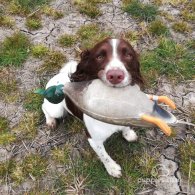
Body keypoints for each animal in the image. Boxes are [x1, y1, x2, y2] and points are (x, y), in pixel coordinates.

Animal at [42, 37, 145, 177]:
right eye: (100, 56)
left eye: (128, 55)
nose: (115, 75)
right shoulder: (93, 138)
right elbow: (104, 155)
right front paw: (112, 168)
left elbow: (126, 127)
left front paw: (128, 134)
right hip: (56, 109)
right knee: (44, 107)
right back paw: (50, 121)